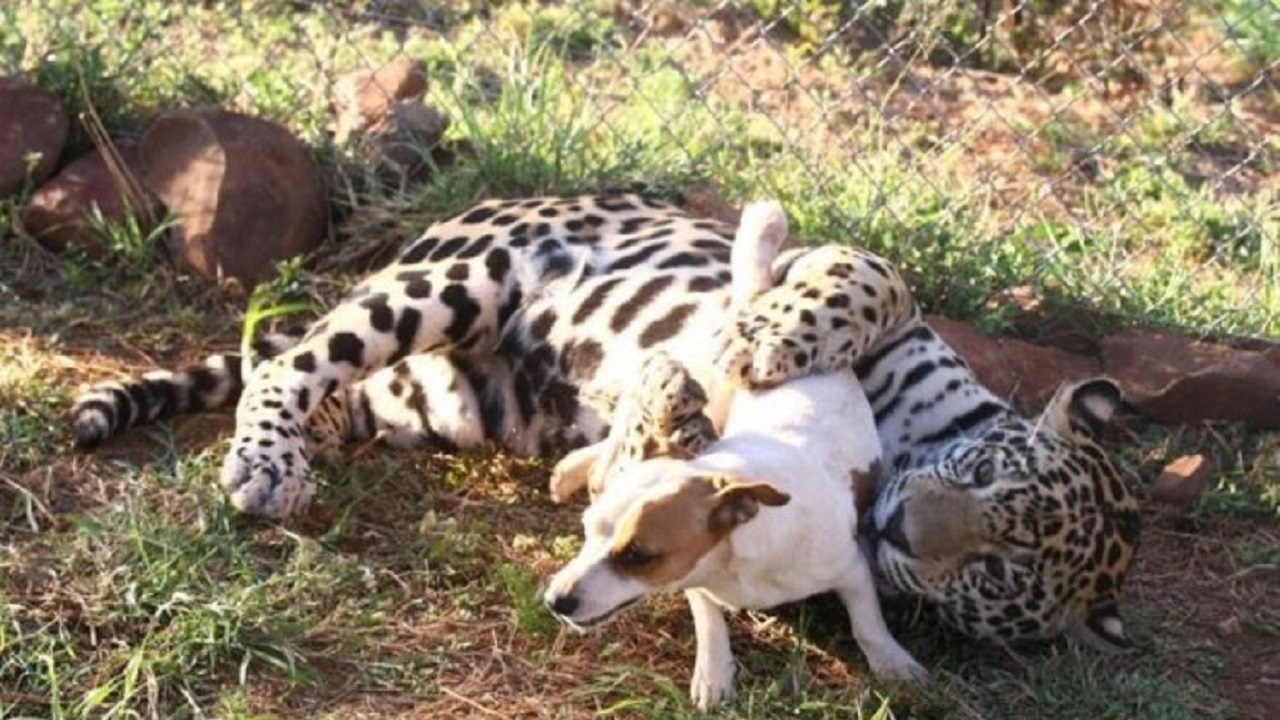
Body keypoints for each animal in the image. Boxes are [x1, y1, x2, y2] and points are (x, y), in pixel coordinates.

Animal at [537, 199, 921, 707]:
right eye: (585, 531)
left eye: (638, 555)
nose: (555, 601)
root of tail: (753, 306)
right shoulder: (698, 582)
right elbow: (709, 619)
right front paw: (715, 672)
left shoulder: (852, 569)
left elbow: (868, 622)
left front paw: (891, 660)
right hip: (697, 387)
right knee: (617, 442)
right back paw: (574, 469)